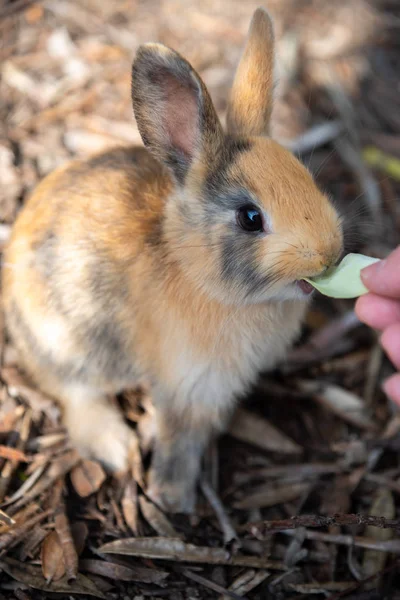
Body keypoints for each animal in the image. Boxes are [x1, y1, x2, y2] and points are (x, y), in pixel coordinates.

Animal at [0, 7, 344, 512]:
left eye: (307, 178)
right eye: (250, 218)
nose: (328, 254)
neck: (196, 272)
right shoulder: (186, 385)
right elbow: (178, 439)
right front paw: (172, 497)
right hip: (70, 343)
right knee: (72, 393)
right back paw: (115, 446)